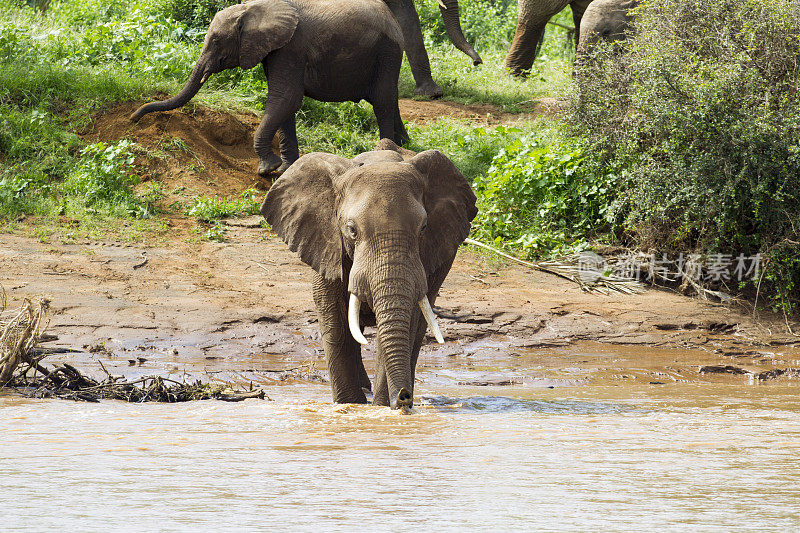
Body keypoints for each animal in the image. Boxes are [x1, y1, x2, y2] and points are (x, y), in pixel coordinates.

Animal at [260, 140, 476, 408]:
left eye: (424, 227)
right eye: (352, 230)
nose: (403, 397)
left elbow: (406, 320)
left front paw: (382, 407)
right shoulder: (327, 243)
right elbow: (335, 321)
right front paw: (350, 406)